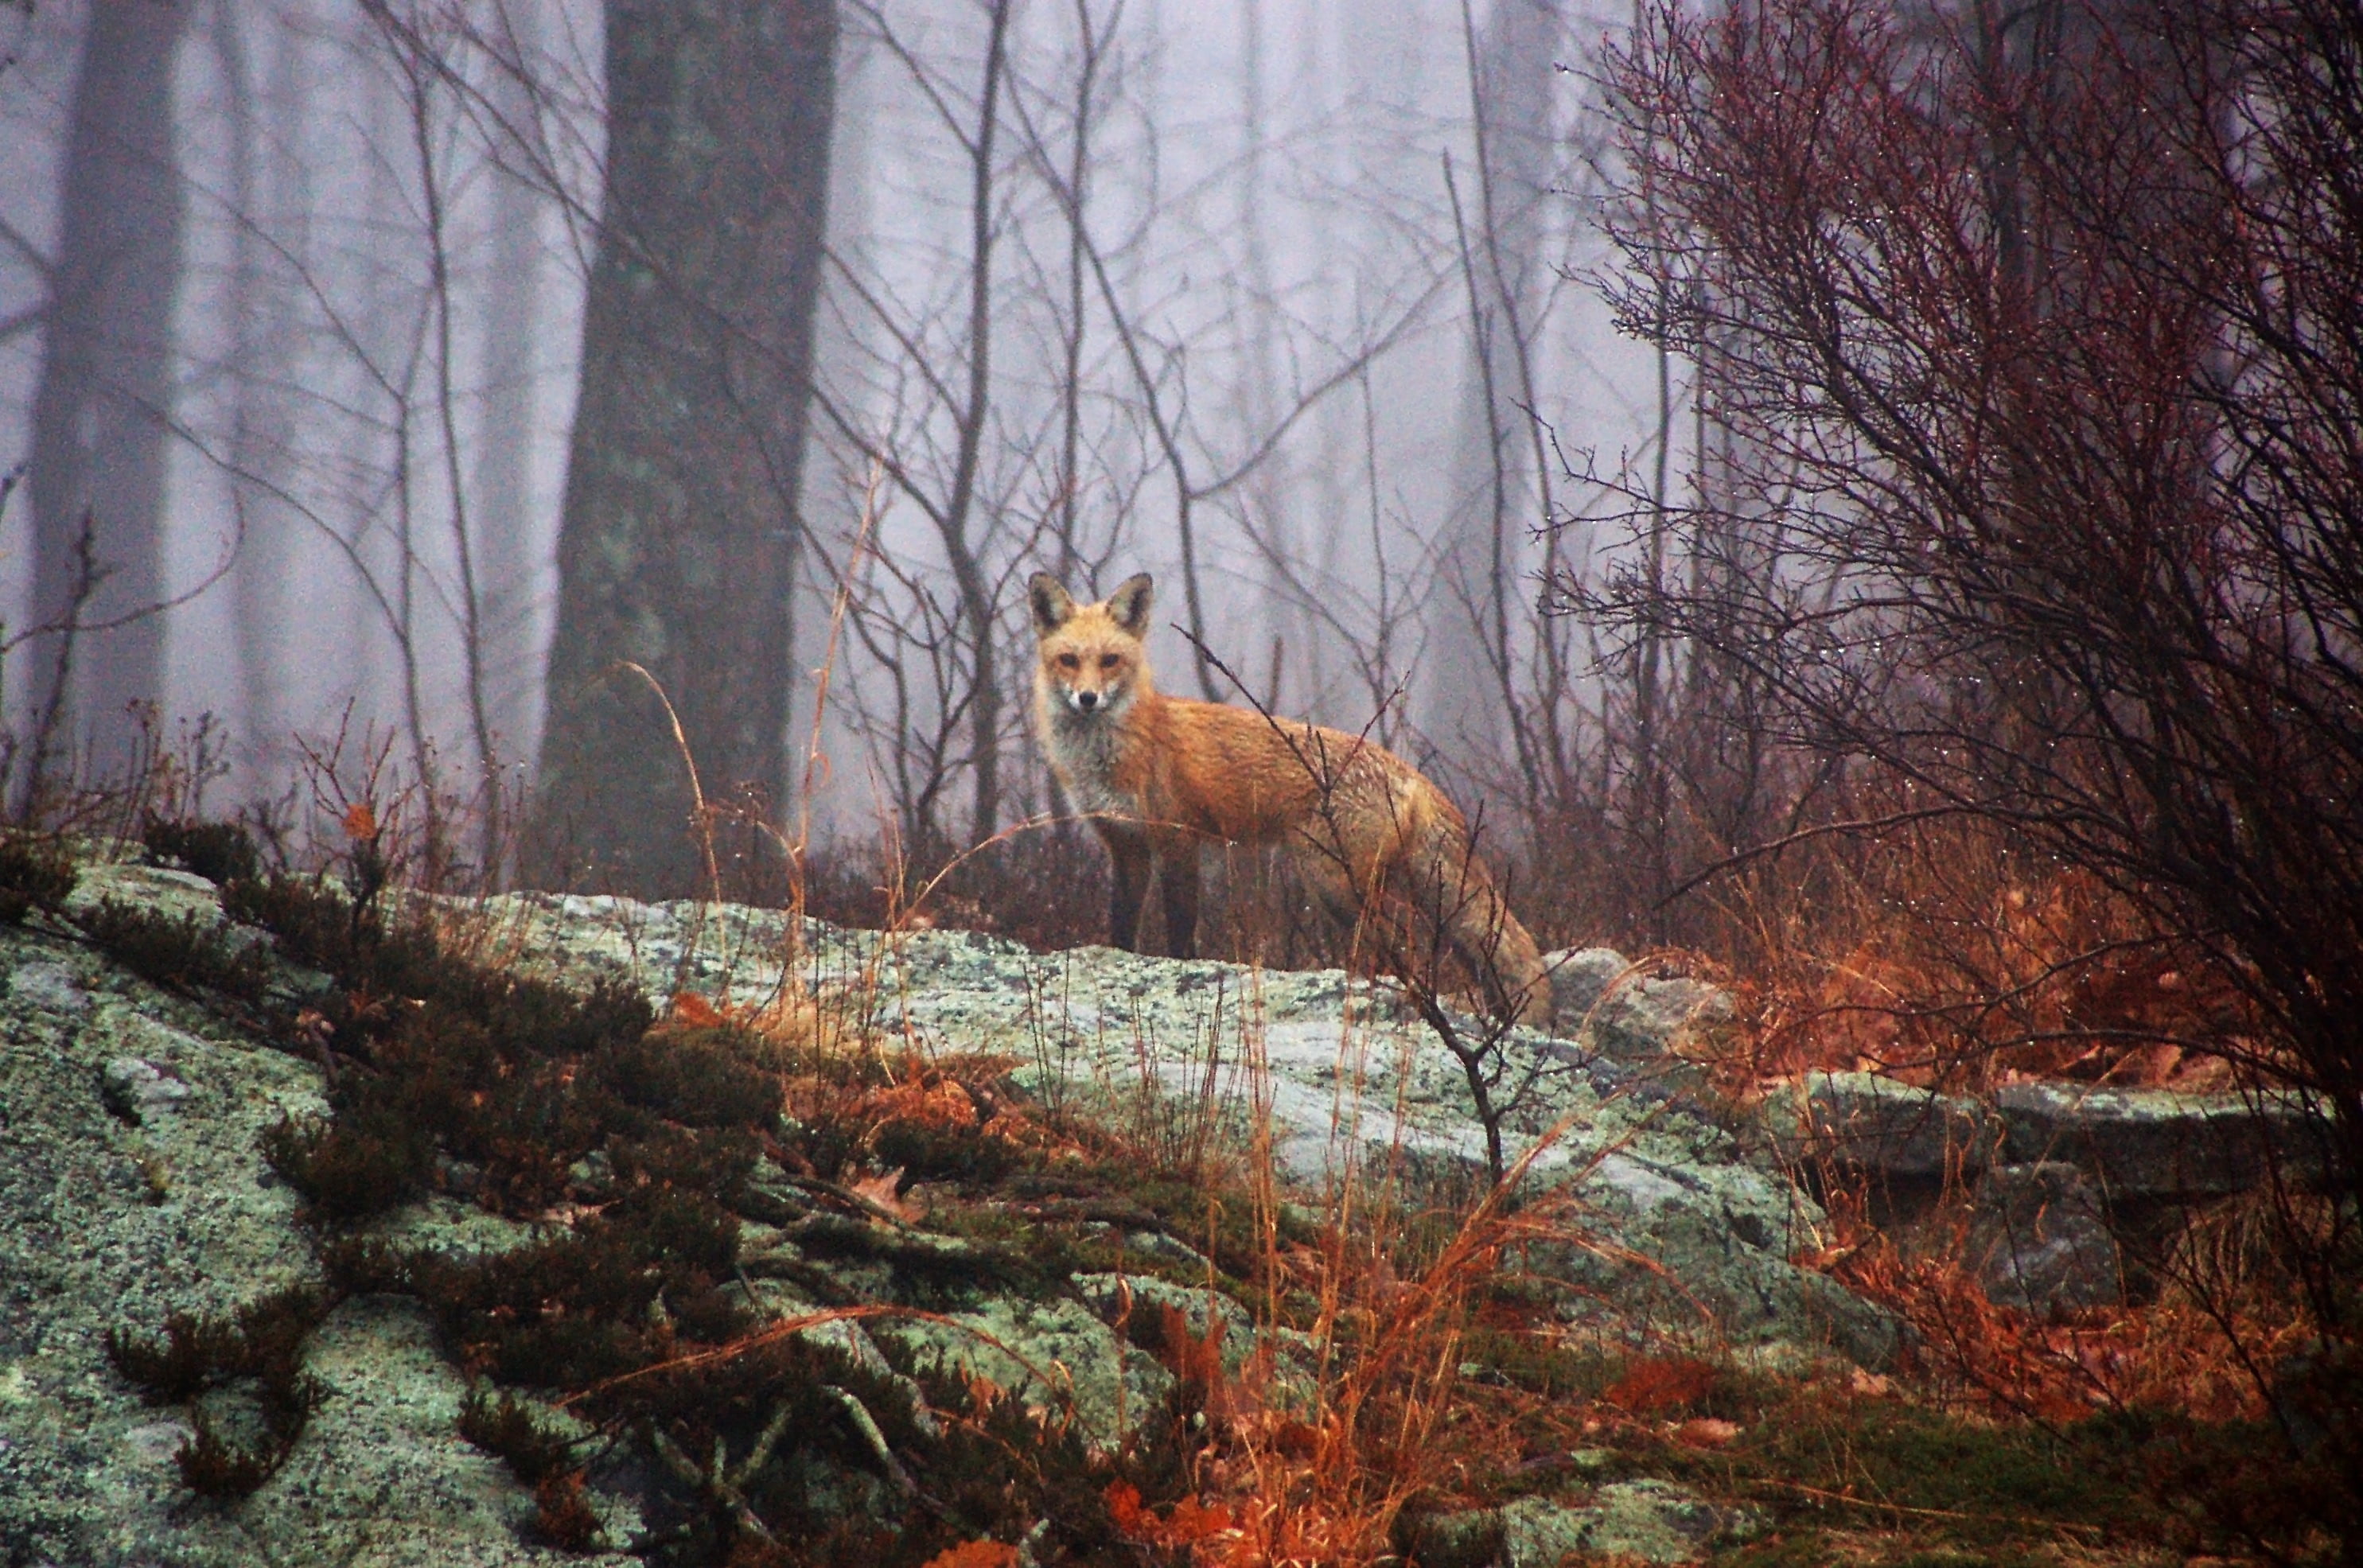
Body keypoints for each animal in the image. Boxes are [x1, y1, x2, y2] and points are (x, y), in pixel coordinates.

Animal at [1028, 570, 1553, 1029]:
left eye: (1110, 660)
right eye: (1069, 660)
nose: (1088, 698)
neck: (1113, 754)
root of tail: (1408, 771)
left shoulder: (1179, 839)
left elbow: (1180, 933)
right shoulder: (1126, 846)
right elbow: (1122, 928)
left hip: (1334, 884)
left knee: (1409, 947)